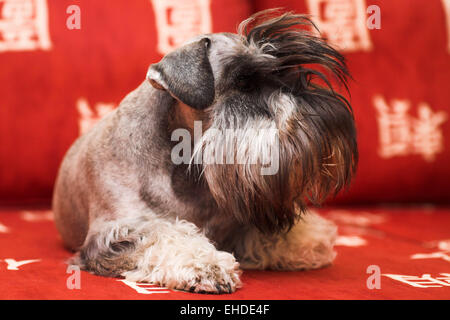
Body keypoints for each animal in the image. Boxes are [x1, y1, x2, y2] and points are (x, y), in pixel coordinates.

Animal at [51, 9, 356, 296]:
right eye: (244, 83)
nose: (330, 120)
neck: (185, 172)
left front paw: (308, 240)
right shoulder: (115, 233)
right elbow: (165, 234)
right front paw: (206, 266)